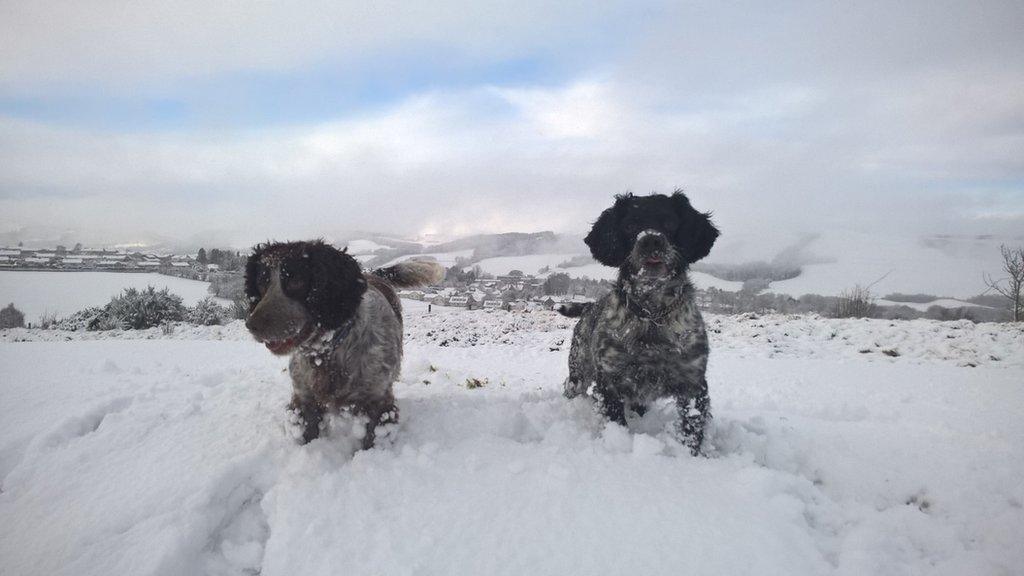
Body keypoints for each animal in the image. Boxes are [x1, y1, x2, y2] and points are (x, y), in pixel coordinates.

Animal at [561, 190, 720, 450]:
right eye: (629, 225)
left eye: (670, 222)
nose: (651, 241)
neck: (652, 314)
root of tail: (589, 306)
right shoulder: (611, 382)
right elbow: (616, 422)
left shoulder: (692, 382)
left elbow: (692, 432)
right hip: (579, 372)